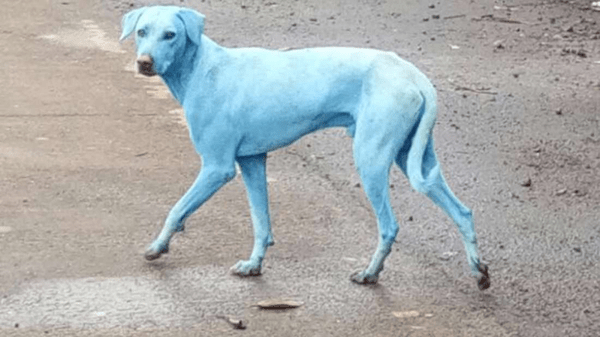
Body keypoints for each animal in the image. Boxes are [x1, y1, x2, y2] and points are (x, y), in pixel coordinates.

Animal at [119, 5, 490, 288]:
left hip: (370, 159)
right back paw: (479, 272)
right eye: (142, 32)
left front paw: (157, 247)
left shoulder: (217, 168)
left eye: (171, 35)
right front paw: (254, 265)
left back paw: (370, 274)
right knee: (461, 211)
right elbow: (261, 223)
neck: (201, 68)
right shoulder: (252, 161)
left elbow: (177, 209)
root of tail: (413, 74)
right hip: (414, 157)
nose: (144, 63)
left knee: (389, 226)